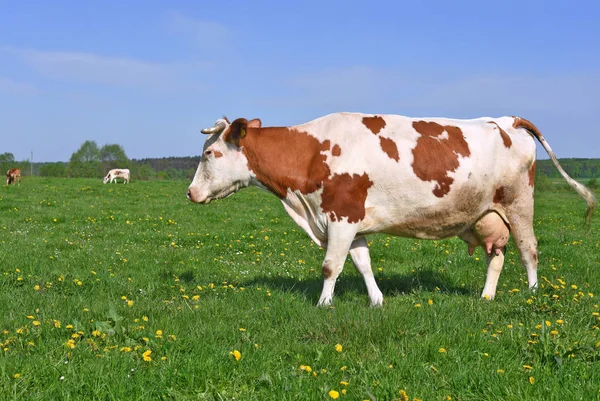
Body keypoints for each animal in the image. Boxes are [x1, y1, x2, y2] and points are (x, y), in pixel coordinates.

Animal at [186, 112, 596, 306]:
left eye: (210, 154)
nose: (190, 192)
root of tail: (509, 119)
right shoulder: (351, 221)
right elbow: (362, 262)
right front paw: (377, 300)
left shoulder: (341, 216)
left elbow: (330, 265)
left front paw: (323, 303)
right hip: (486, 214)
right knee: (496, 256)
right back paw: (486, 297)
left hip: (518, 204)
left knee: (529, 250)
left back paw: (532, 293)